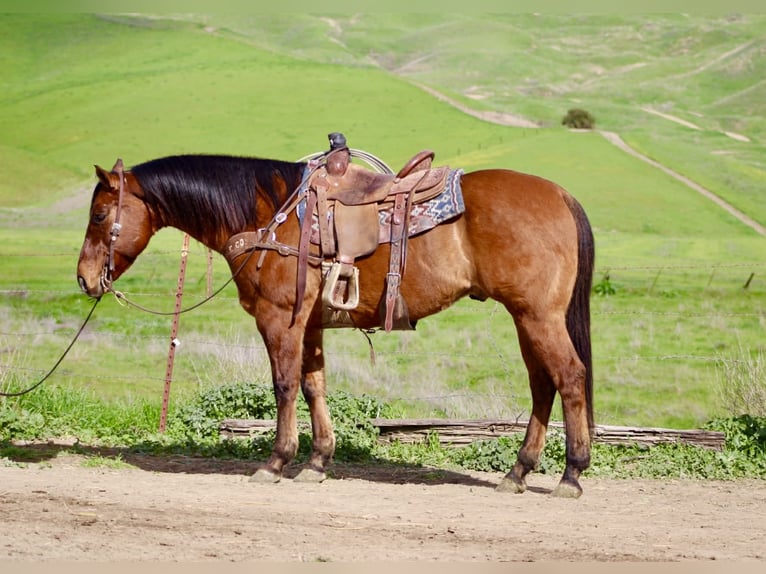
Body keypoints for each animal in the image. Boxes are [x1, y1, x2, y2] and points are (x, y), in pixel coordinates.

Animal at [76, 149, 594, 498]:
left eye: (100, 214)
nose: (84, 278)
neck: (269, 216)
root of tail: (561, 195)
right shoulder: (309, 325)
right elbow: (314, 386)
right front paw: (318, 461)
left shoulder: (279, 318)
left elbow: (284, 385)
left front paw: (276, 461)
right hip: (526, 319)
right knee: (542, 385)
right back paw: (518, 472)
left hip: (538, 317)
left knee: (569, 378)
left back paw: (571, 473)